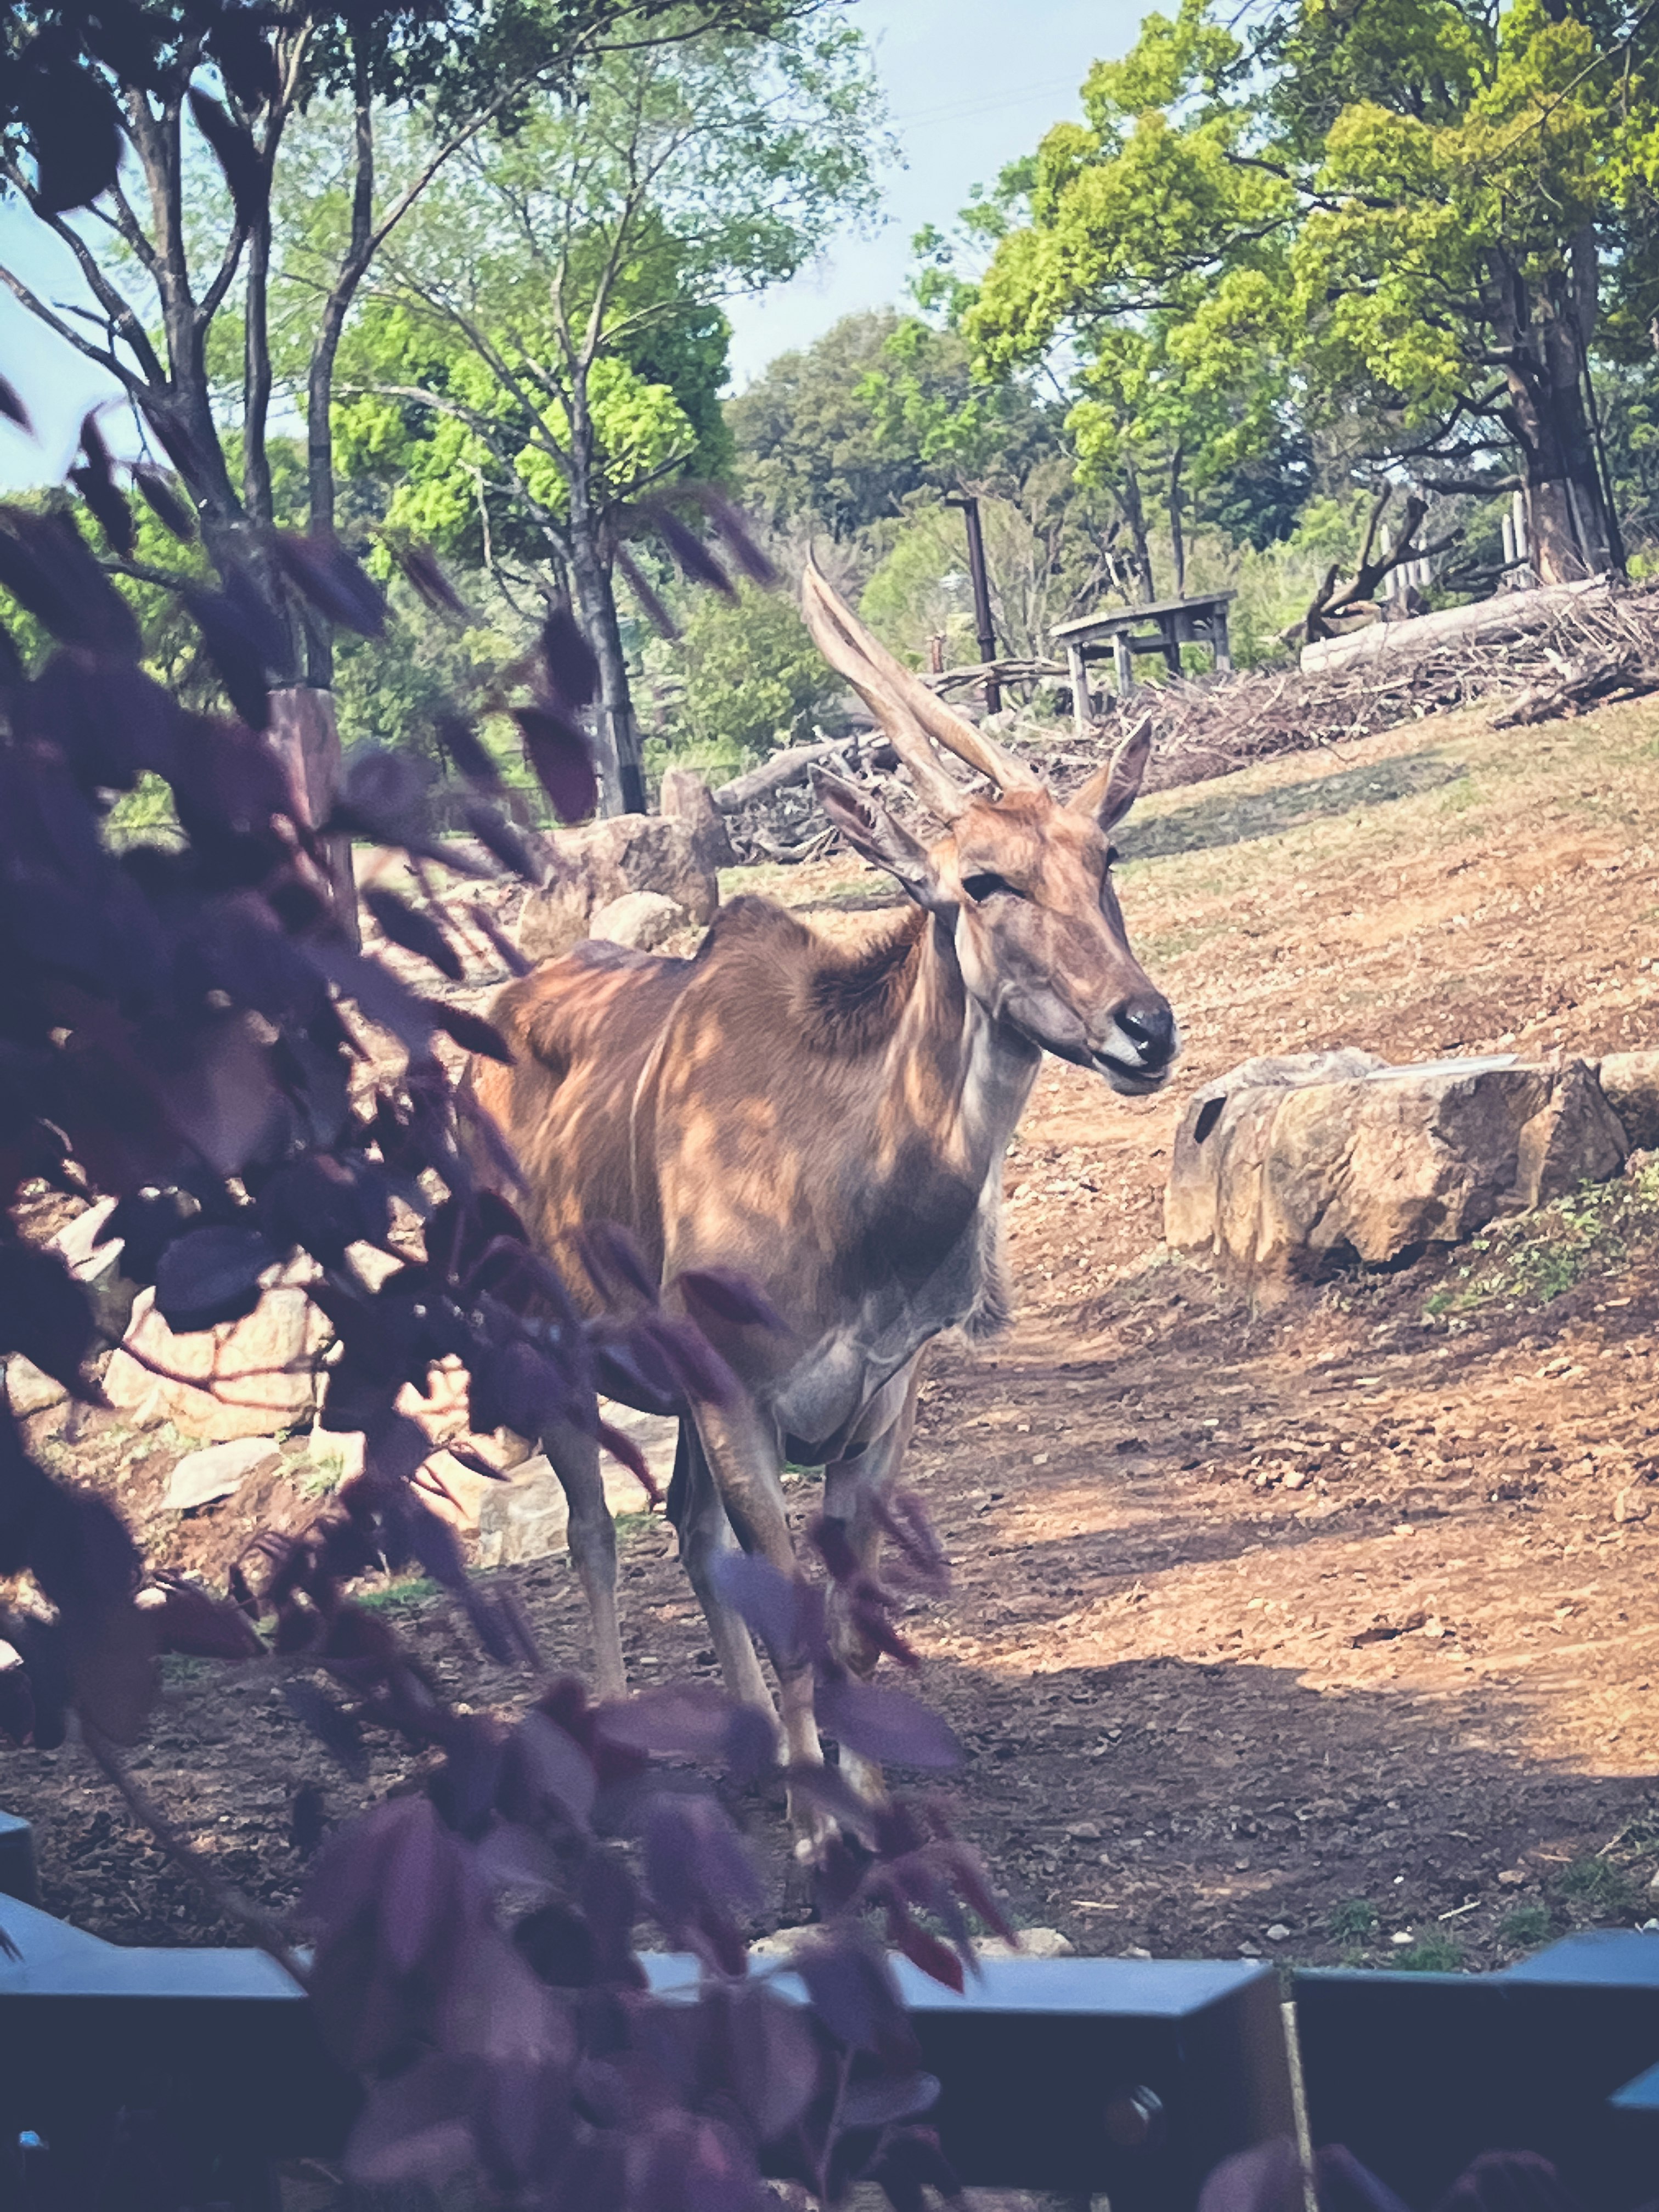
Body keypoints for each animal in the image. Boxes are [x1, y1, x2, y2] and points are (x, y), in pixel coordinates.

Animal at [468, 558, 1177, 1807]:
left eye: (1106, 857)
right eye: (981, 880)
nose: (1146, 1027)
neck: (849, 1206)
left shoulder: (879, 1407)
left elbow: (845, 1623)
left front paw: (861, 1801)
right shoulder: (737, 1398)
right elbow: (789, 1606)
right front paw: (819, 1829)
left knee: (685, 1530)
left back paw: (760, 1746)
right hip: (544, 1346)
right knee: (595, 1532)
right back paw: (616, 1751)